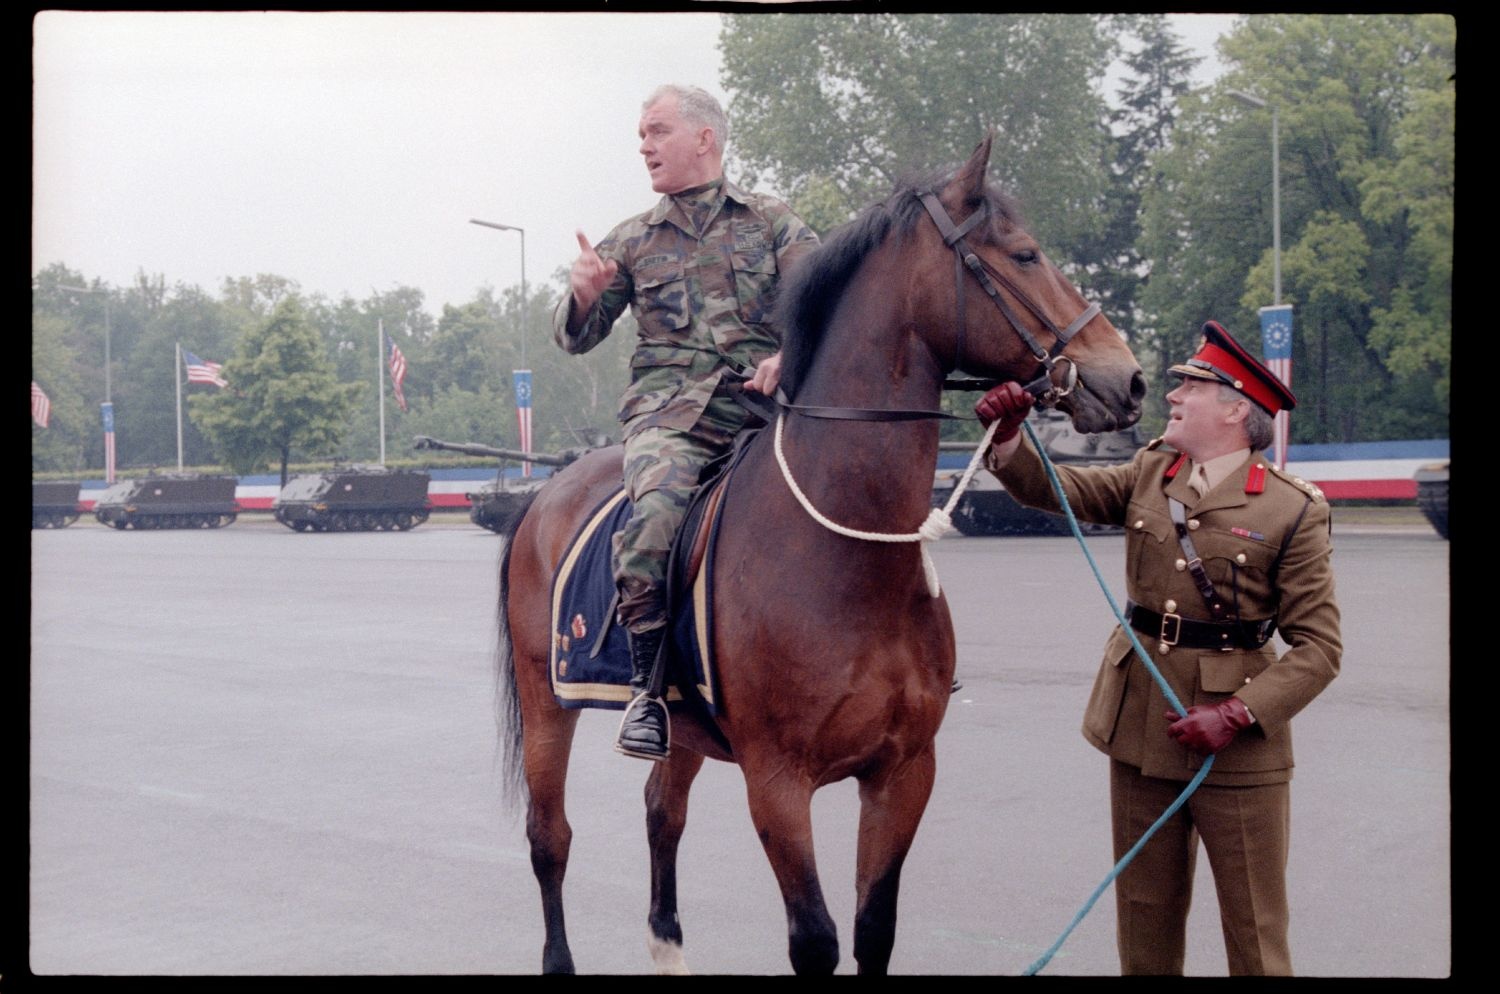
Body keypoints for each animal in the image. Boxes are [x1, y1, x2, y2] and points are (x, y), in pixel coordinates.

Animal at [498, 136, 1140, 977]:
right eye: (1026, 254)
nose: (1127, 377)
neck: (849, 555)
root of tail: (547, 491)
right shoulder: (778, 781)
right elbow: (816, 939)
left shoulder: (904, 771)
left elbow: (873, 930)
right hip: (547, 704)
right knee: (550, 840)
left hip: (682, 732)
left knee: (661, 818)